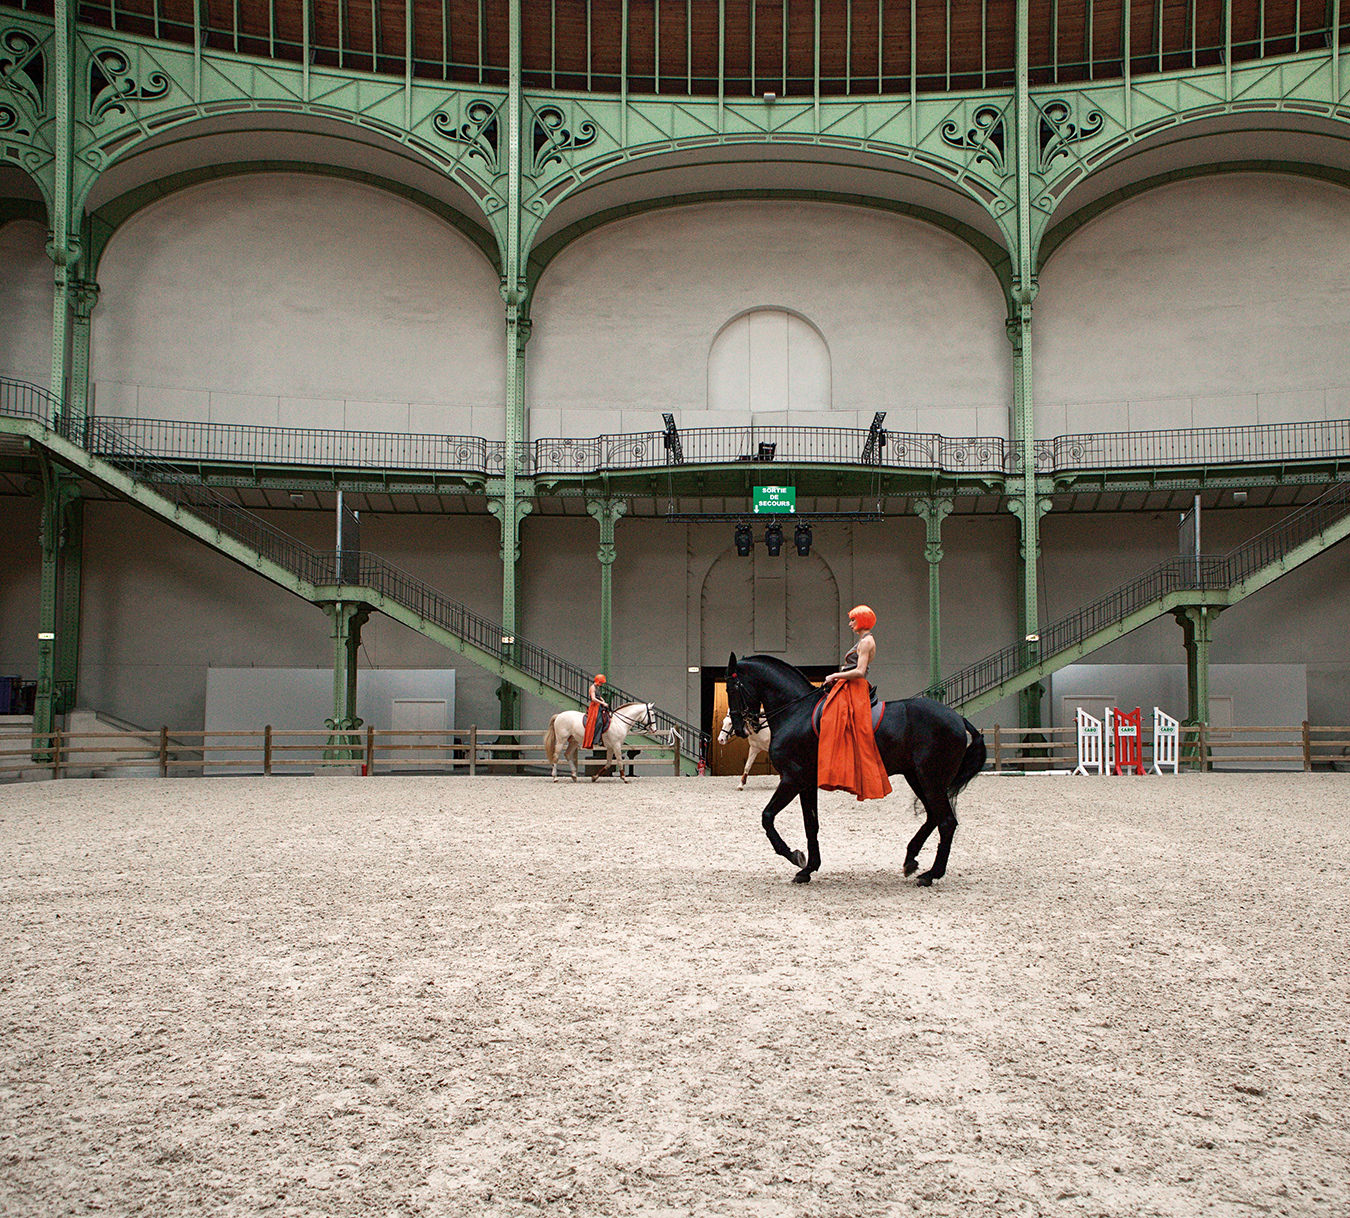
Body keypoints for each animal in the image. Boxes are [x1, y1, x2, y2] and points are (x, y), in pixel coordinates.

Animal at [542, 702, 675, 788]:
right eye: (652, 715)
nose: (654, 729)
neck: (619, 722)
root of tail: (559, 715)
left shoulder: (611, 747)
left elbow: (608, 763)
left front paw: (594, 777)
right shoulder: (616, 745)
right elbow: (620, 761)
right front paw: (624, 778)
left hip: (573, 741)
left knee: (568, 755)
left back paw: (574, 776)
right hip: (561, 740)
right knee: (556, 757)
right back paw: (555, 778)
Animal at [729, 658, 993, 885]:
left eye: (732, 688)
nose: (740, 727)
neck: (797, 711)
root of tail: (957, 718)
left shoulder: (792, 779)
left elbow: (767, 816)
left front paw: (794, 856)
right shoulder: (806, 782)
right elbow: (810, 824)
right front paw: (808, 869)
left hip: (931, 779)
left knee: (946, 821)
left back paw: (931, 874)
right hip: (917, 777)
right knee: (933, 816)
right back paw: (911, 860)